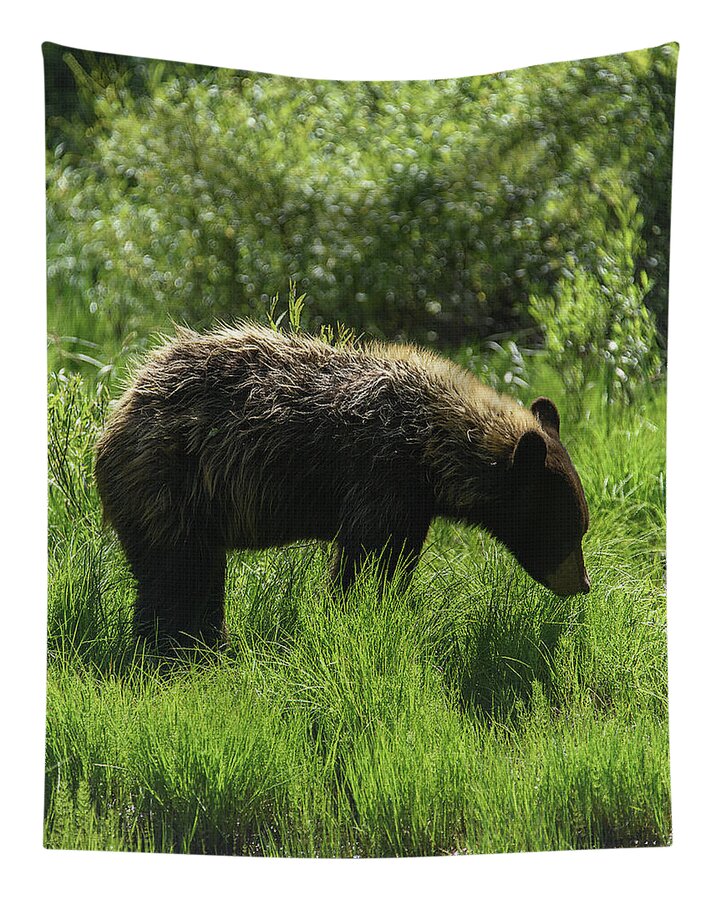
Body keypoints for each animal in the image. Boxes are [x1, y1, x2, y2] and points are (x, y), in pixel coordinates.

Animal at [95, 323, 590, 647]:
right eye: (569, 527)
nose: (582, 583)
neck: (431, 449)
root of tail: (122, 405)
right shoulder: (380, 477)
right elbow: (366, 557)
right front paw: (356, 608)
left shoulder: (413, 502)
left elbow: (397, 559)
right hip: (170, 486)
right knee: (179, 572)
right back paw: (180, 648)